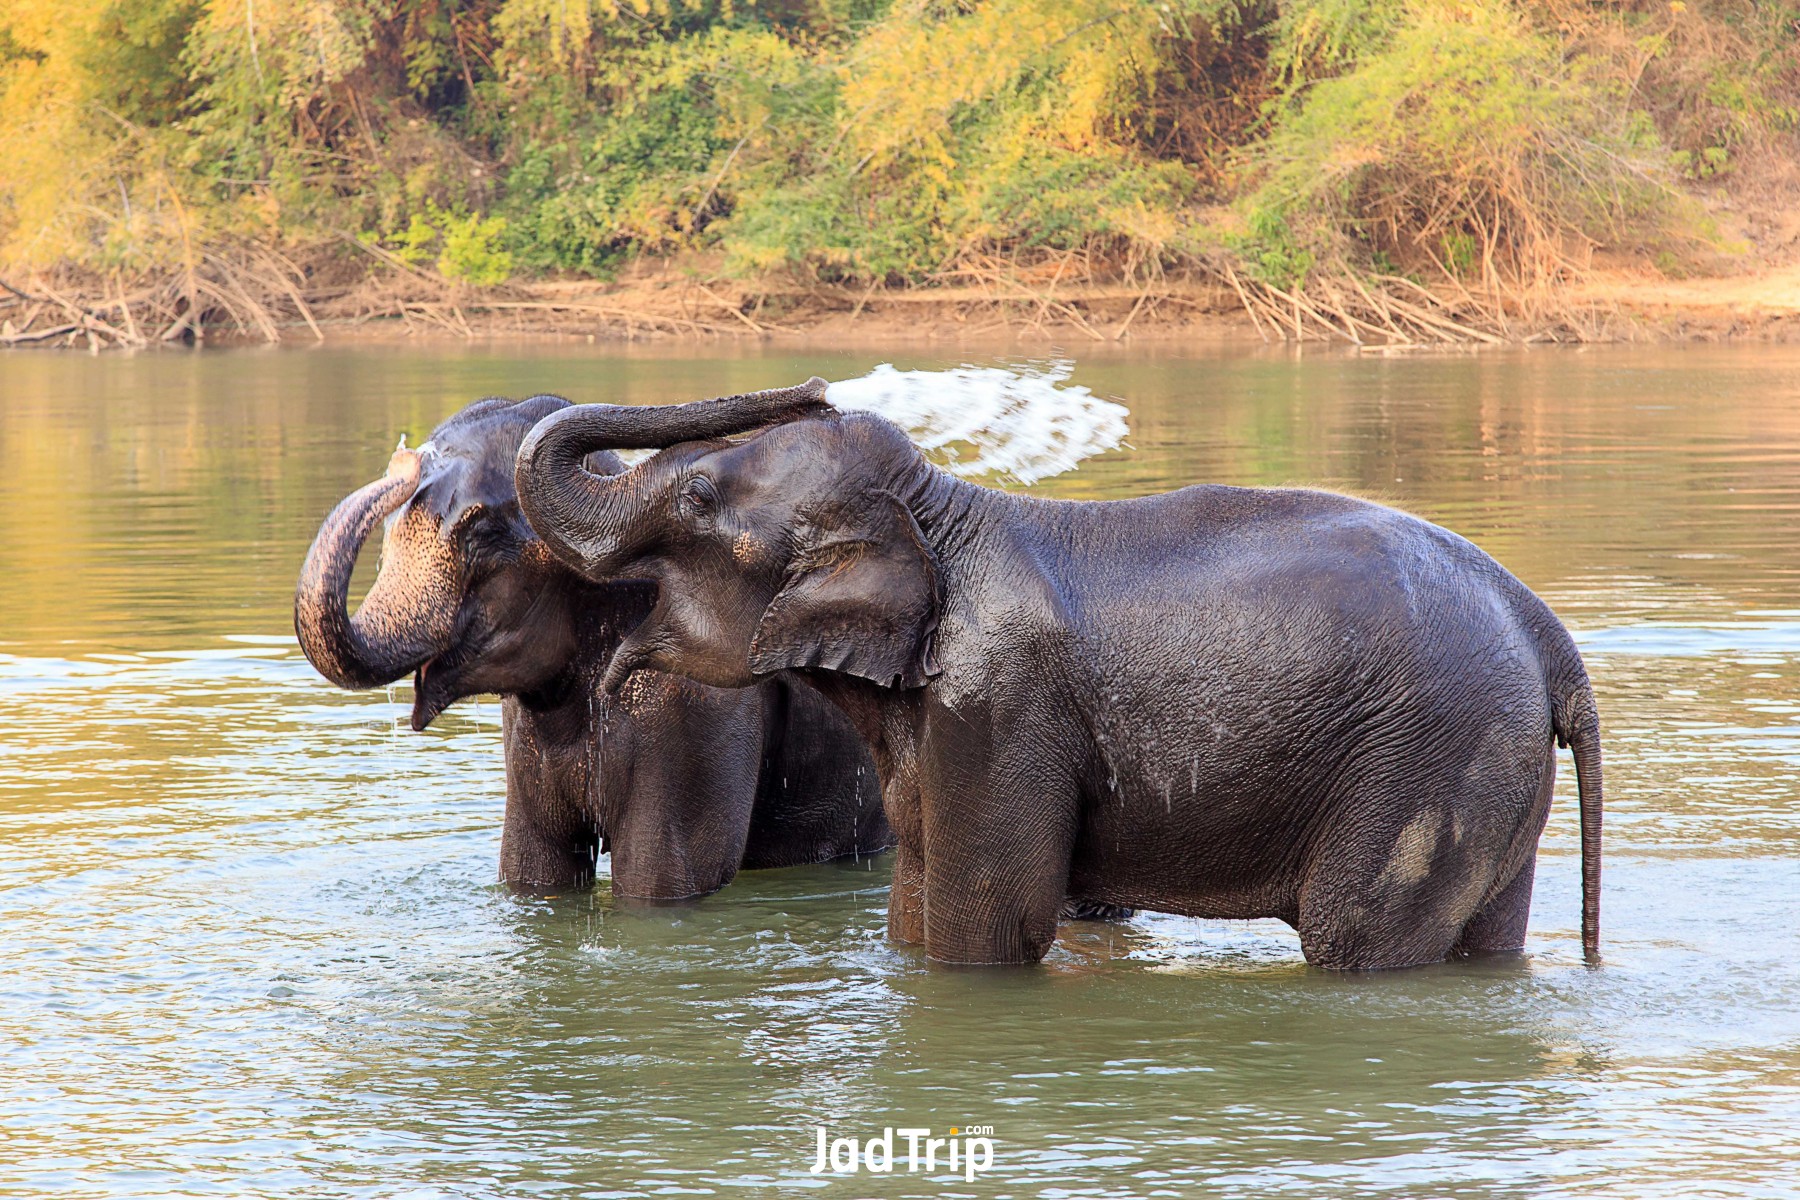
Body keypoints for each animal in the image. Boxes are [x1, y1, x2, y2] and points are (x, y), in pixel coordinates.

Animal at [511, 377, 1603, 970]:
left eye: (698, 498)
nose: (818, 387)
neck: (942, 511)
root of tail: (1550, 636)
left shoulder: (1000, 704)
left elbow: (989, 920)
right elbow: (917, 906)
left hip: (1427, 764)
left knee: (1356, 939)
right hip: (1494, 774)